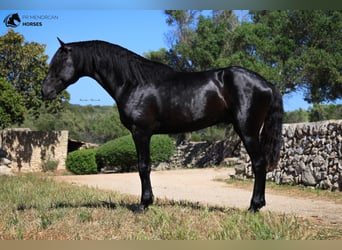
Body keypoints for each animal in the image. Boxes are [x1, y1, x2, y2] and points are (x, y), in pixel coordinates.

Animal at [42, 38, 284, 212]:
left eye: (59, 63)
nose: (45, 91)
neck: (134, 82)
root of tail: (267, 84)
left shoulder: (140, 132)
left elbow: (143, 167)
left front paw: (143, 204)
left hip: (248, 131)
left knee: (259, 164)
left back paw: (254, 207)